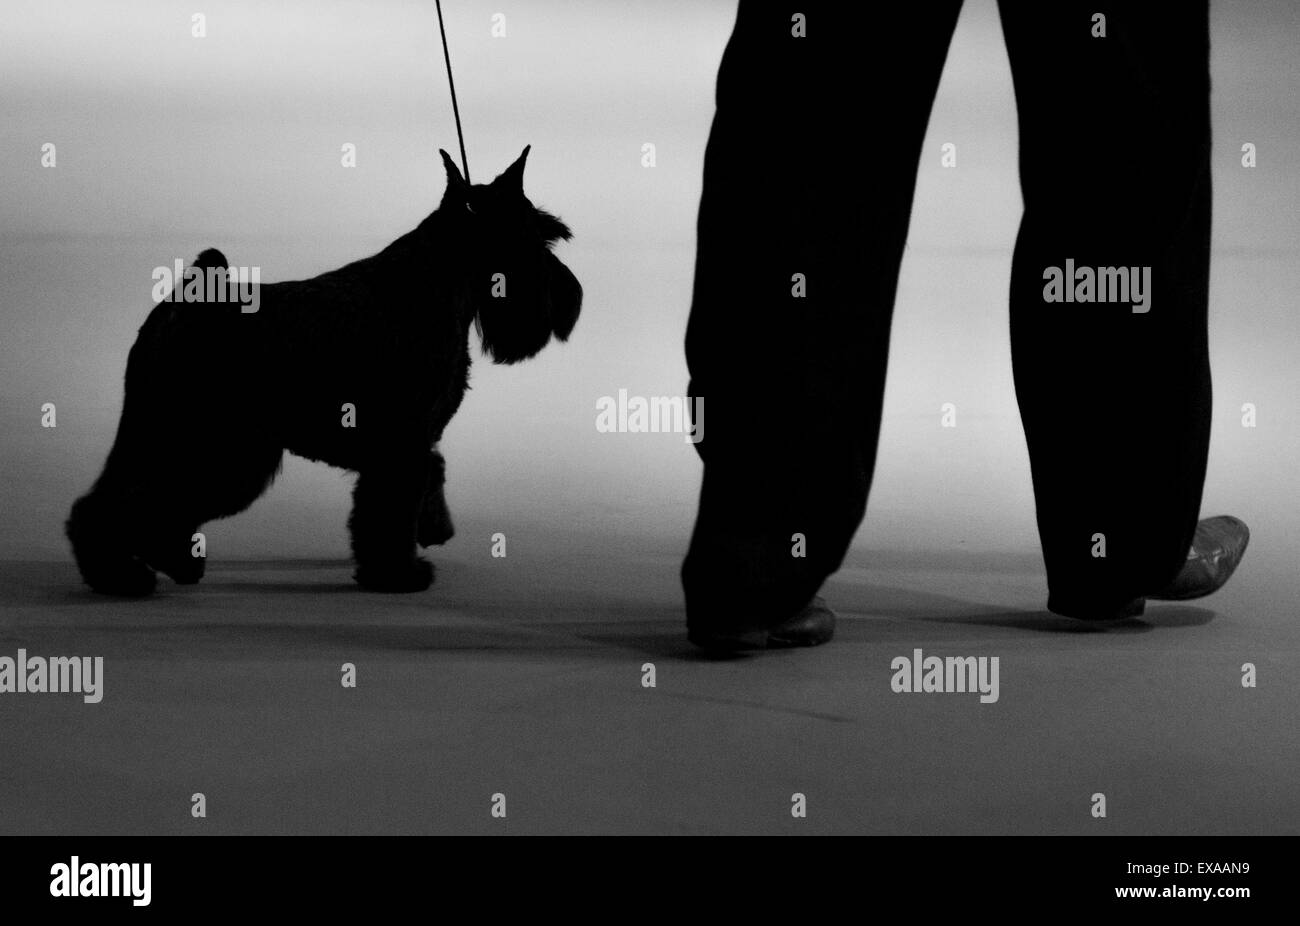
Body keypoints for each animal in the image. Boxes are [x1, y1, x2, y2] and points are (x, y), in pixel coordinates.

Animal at [65, 144, 585, 593]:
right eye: (533, 238)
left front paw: (425, 536)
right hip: (210, 441)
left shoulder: (413, 442)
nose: (570, 297)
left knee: (135, 501)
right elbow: (390, 511)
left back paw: (160, 564)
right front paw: (399, 575)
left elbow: (418, 483)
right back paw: (124, 577)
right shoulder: (401, 443)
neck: (434, 283)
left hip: (173, 437)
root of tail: (181, 304)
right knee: (129, 503)